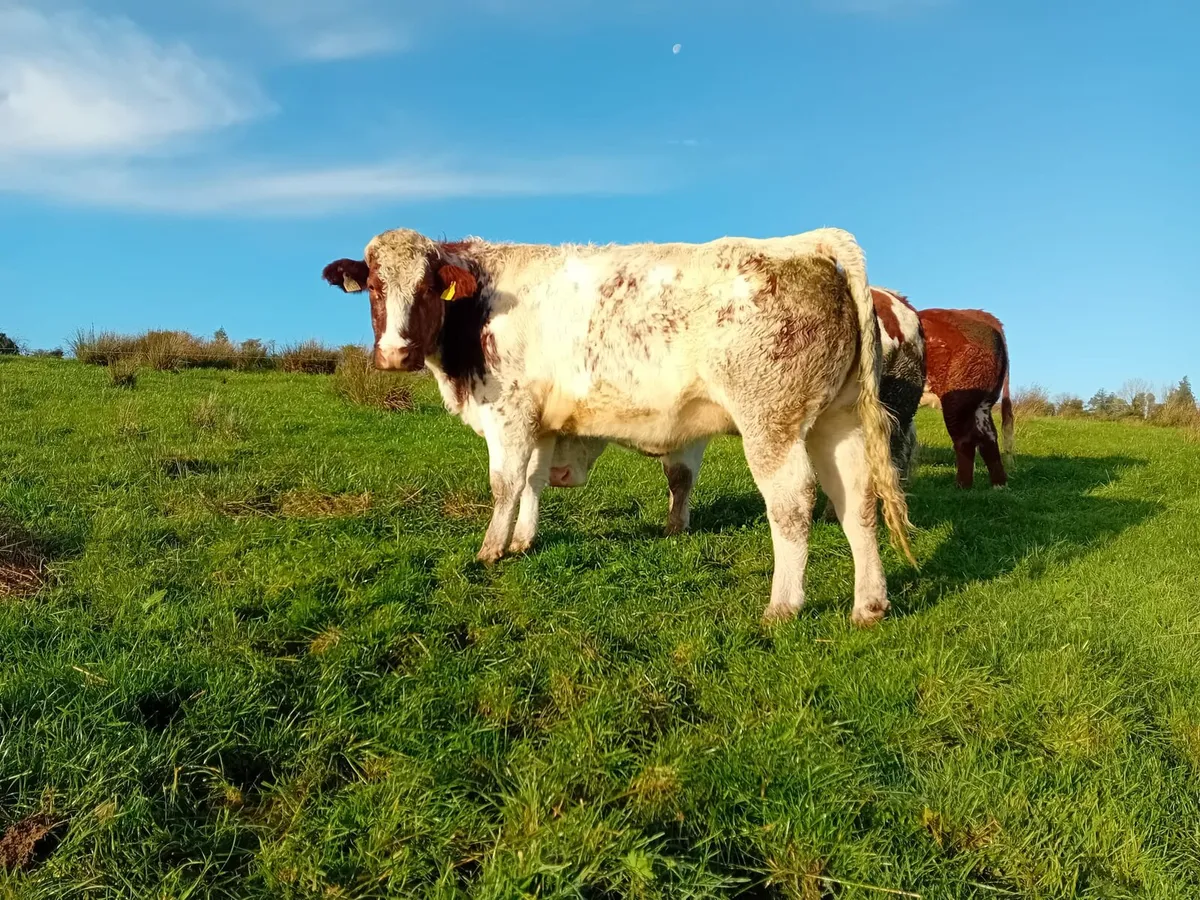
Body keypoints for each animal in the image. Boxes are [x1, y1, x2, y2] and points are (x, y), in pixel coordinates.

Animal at [917, 307, 1014, 489]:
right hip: (982, 404)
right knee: (988, 437)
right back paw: (998, 485)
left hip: (957, 401)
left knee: (965, 440)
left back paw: (960, 486)